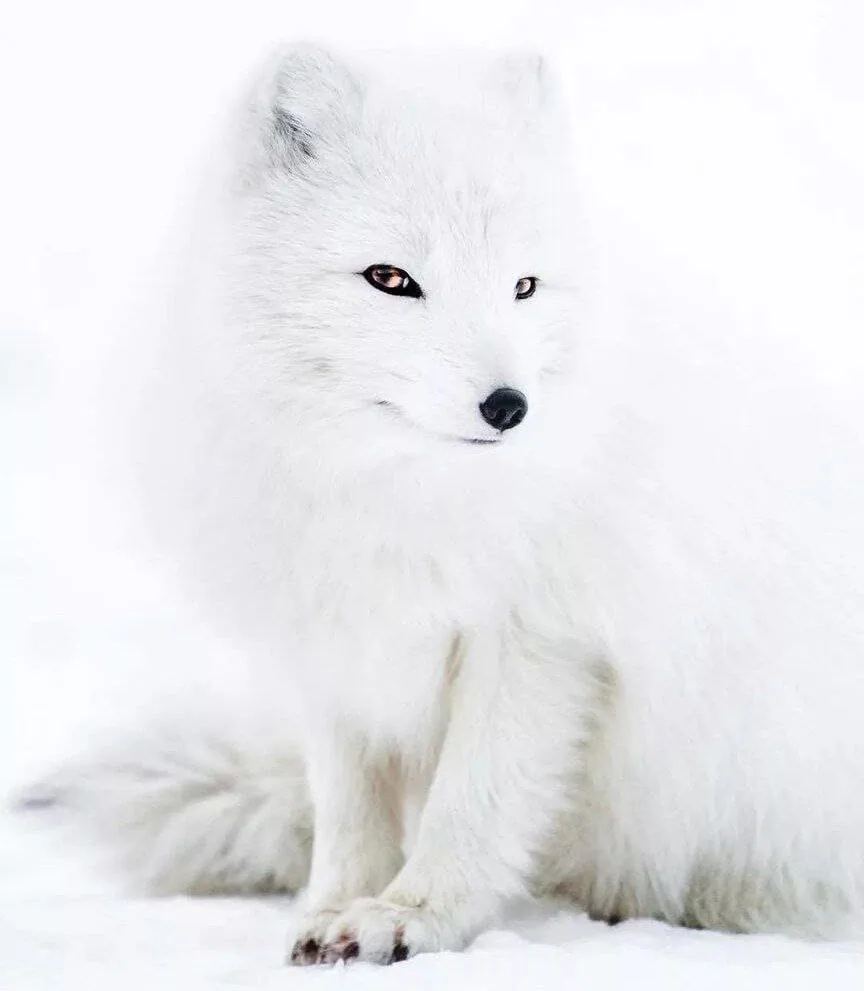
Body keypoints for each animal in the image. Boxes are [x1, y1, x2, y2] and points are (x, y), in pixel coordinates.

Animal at [30, 42, 864, 964]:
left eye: (524, 286)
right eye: (391, 279)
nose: (509, 406)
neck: (397, 495)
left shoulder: (542, 643)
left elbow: (474, 802)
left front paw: (412, 917)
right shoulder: (333, 646)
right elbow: (347, 812)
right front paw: (331, 909)